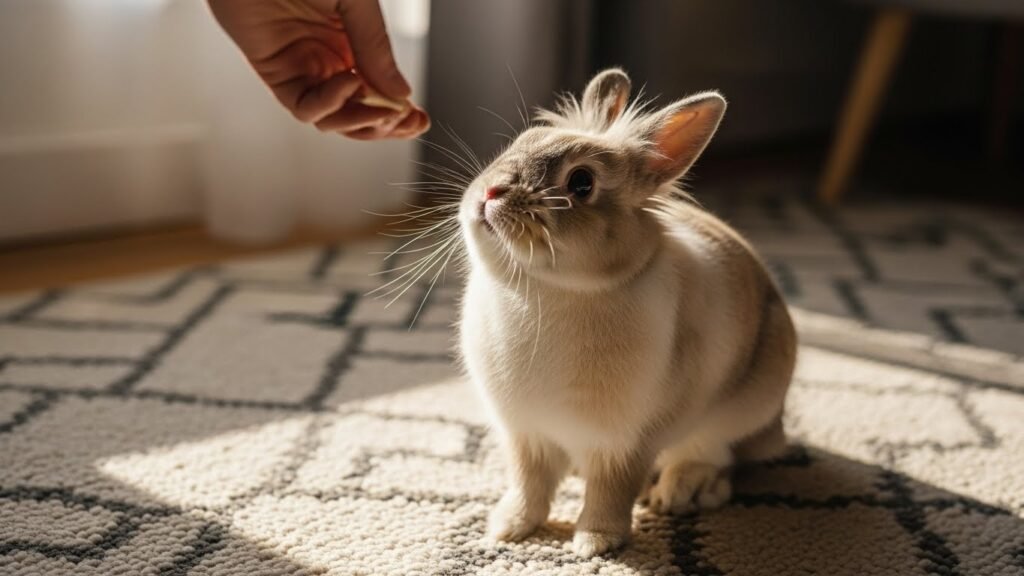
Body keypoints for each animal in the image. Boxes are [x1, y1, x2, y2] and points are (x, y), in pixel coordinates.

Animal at [457, 68, 796, 557]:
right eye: (523, 140)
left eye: (581, 183)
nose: (490, 191)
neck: (545, 289)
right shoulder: (526, 434)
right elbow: (529, 483)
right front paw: (508, 527)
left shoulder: (624, 442)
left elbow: (611, 491)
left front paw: (595, 543)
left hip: (743, 406)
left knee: (716, 454)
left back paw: (682, 491)